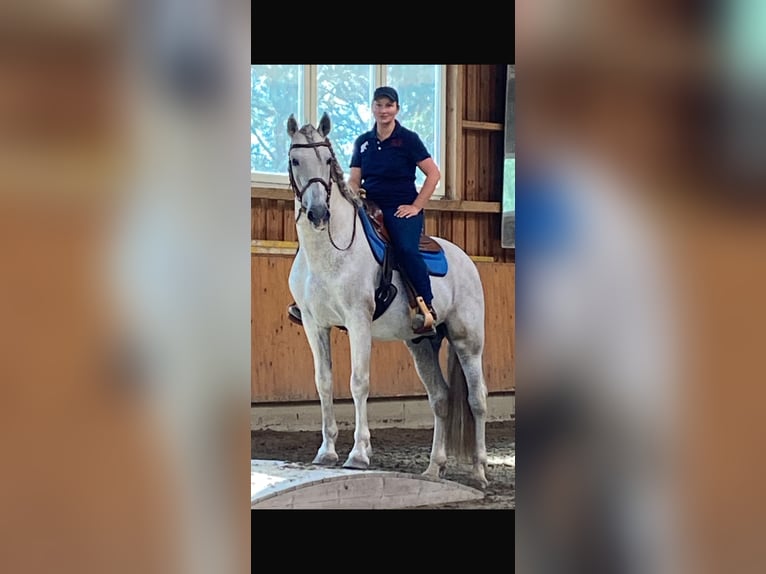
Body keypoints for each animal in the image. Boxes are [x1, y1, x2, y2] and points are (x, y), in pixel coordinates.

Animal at [286, 112, 489, 488]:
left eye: (327, 160)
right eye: (295, 160)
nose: (318, 213)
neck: (330, 251)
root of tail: (465, 260)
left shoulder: (358, 321)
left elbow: (358, 382)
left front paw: (358, 454)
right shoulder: (313, 323)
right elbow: (323, 382)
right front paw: (326, 452)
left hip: (467, 341)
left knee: (476, 398)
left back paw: (480, 471)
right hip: (422, 343)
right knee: (440, 398)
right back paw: (433, 468)